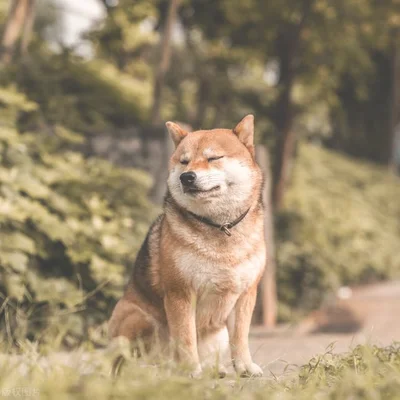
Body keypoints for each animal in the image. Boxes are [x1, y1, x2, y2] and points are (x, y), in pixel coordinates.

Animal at [109, 114, 266, 376]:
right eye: (184, 162)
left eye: (214, 158)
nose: (187, 176)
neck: (219, 226)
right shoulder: (180, 293)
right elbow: (185, 337)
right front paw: (191, 370)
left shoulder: (245, 294)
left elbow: (240, 339)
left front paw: (245, 367)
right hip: (139, 318)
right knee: (130, 363)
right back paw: (155, 370)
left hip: (219, 334)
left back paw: (215, 370)